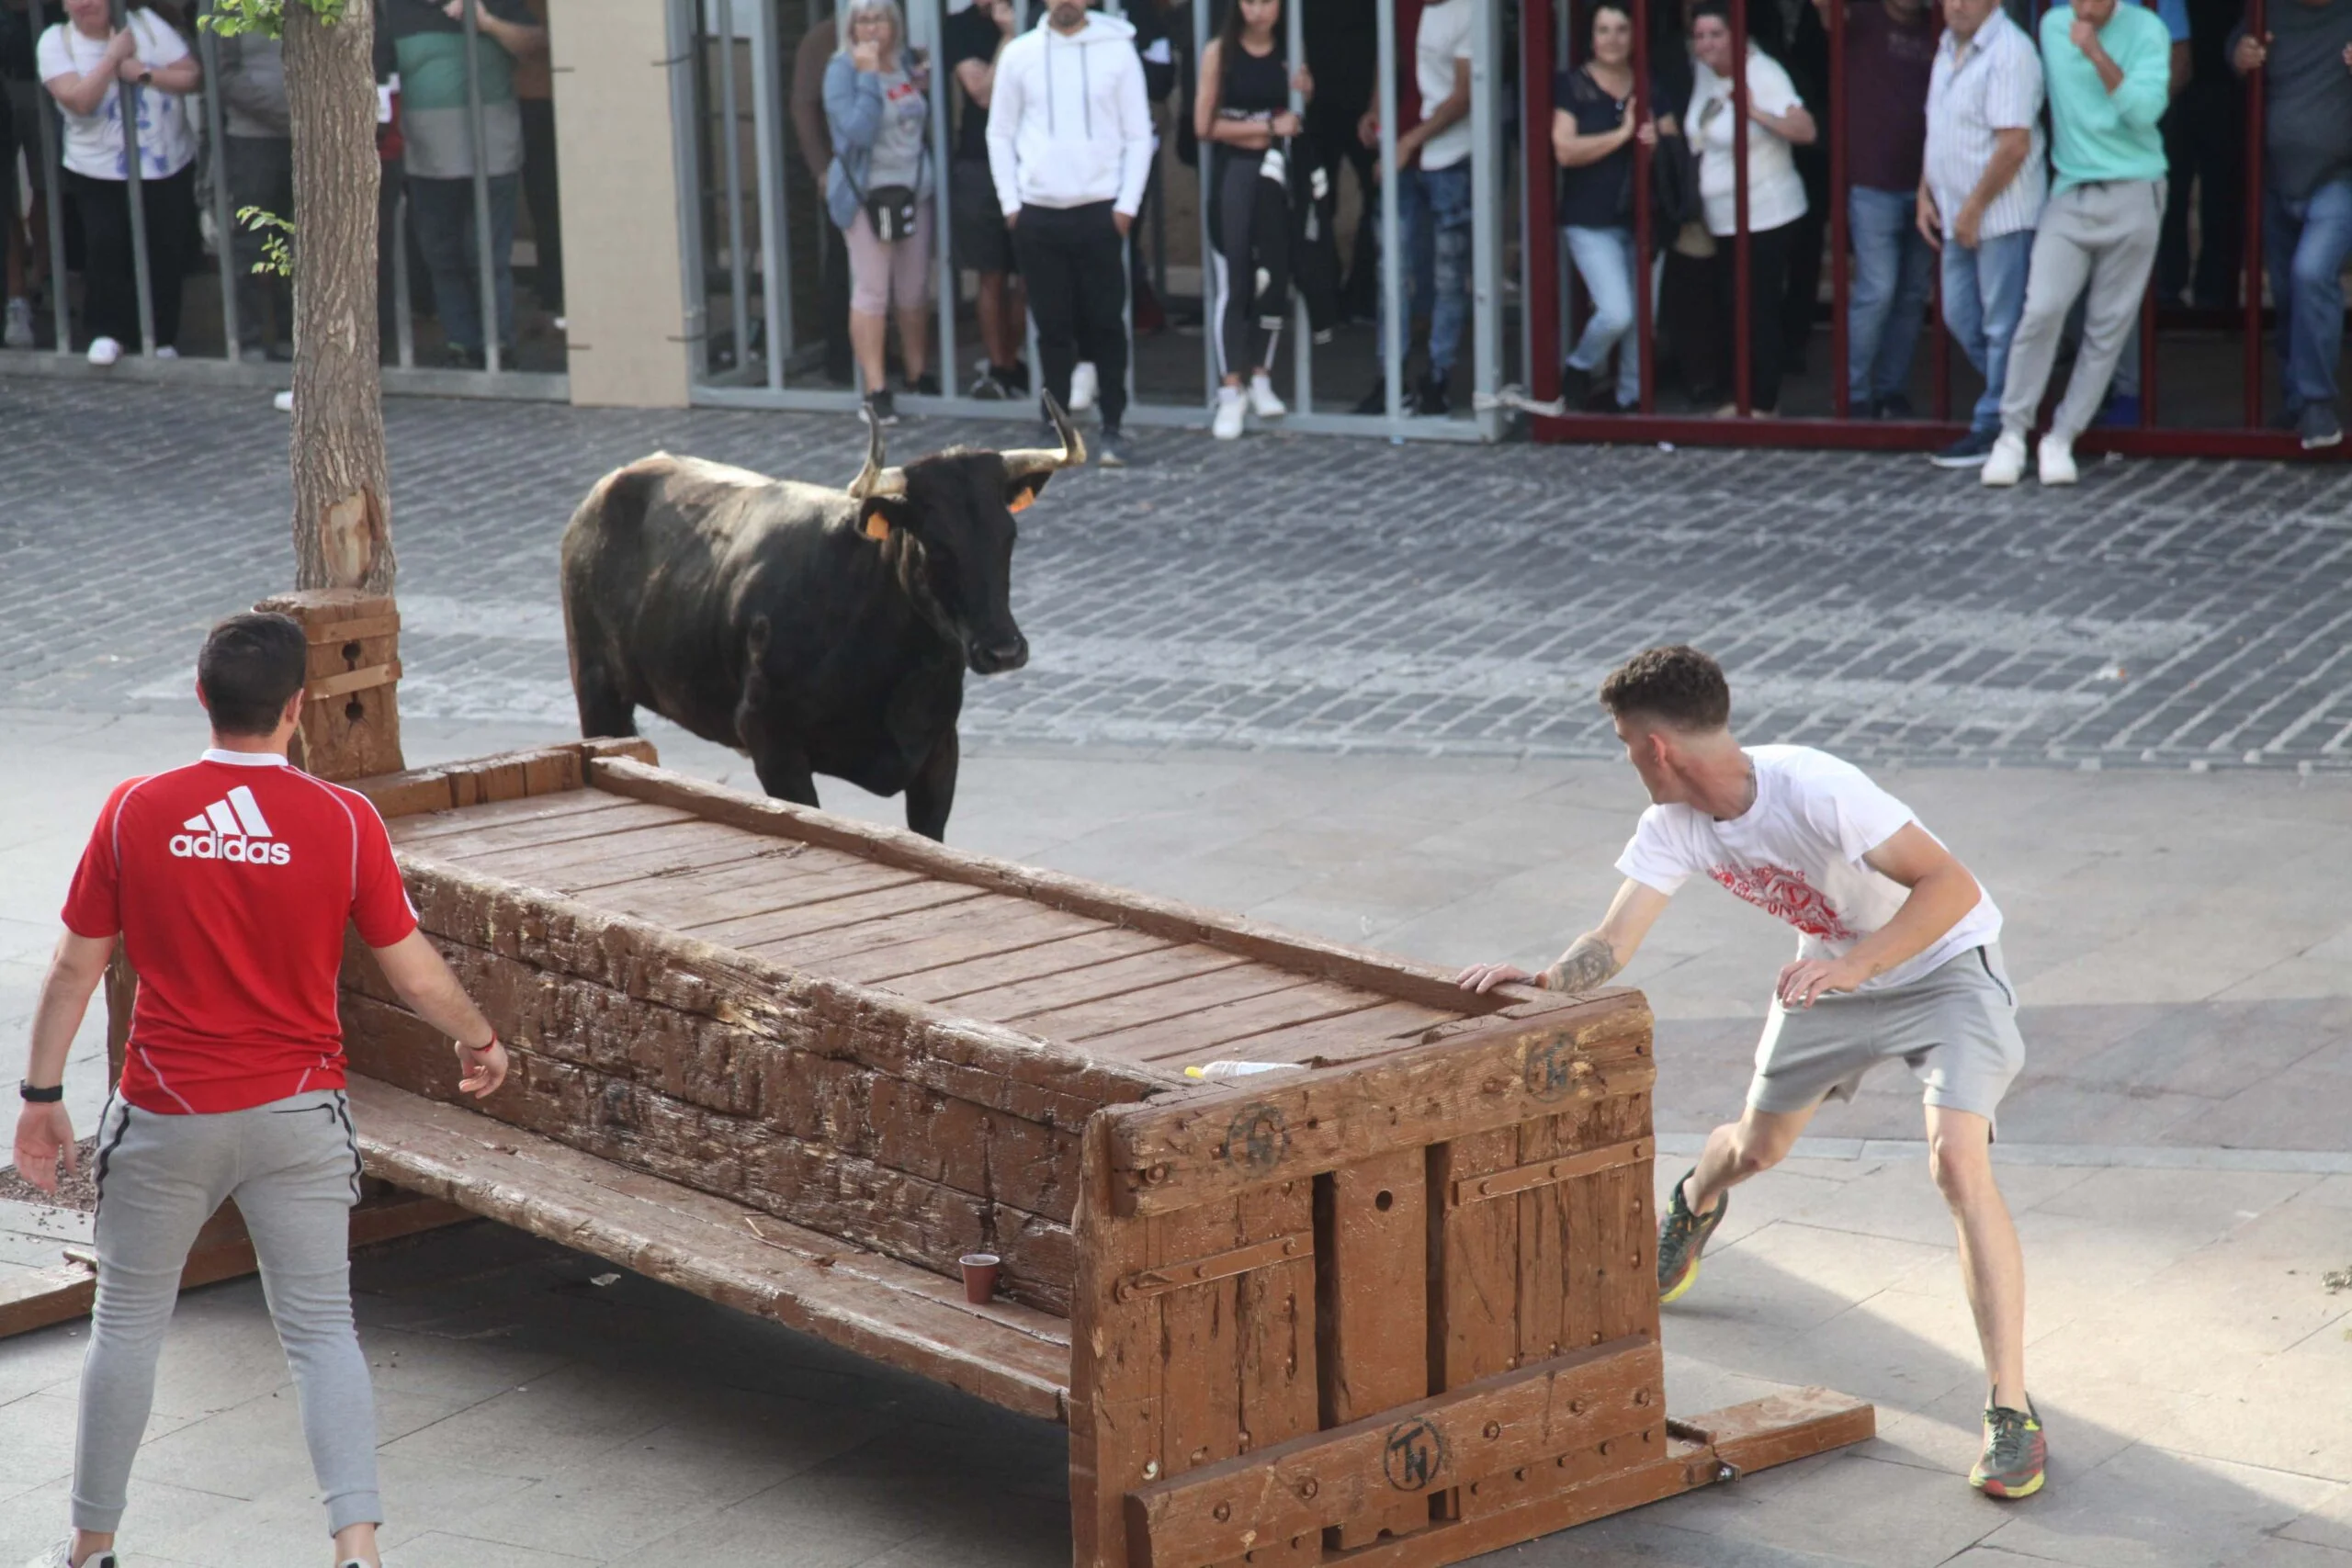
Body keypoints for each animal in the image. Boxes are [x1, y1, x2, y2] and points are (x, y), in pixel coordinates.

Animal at [560, 404, 1081, 846]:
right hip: (596, 686)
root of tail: (607, 488)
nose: (1004, 650)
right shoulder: (771, 740)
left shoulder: (939, 748)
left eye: (1008, 536)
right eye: (935, 543)